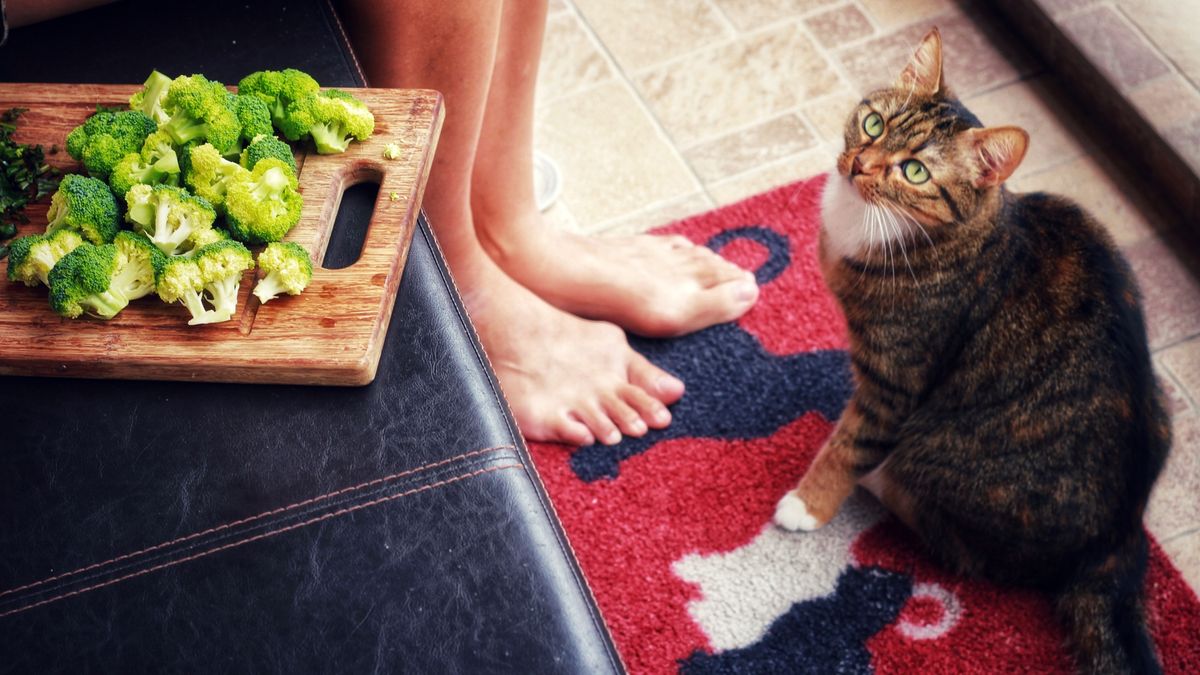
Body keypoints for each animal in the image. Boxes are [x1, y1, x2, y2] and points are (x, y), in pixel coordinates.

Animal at [768, 27, 1171, 672]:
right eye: (875, 123)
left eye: (913, 172)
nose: (859, 164)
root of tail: (1119, 541)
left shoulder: (896, 379)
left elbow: (848, 446)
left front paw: (806, 504)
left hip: (939, 451)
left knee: (959, 544)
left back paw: (880, 479)